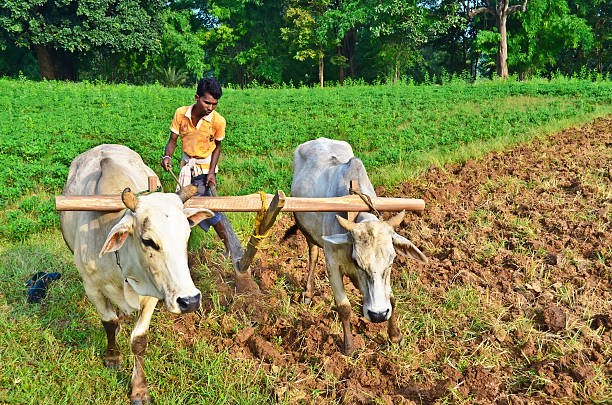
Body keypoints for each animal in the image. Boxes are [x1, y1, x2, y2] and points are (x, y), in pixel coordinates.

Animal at [59, 144, 213, 402]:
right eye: (148, 241)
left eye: (186, 235)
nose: (190, 301)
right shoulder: (91, 288)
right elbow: (108, 322)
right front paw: (112, 357)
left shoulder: (152, 293)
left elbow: (139, 340)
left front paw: (139, 389)